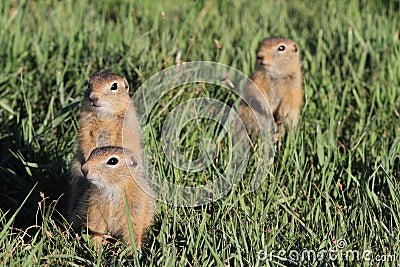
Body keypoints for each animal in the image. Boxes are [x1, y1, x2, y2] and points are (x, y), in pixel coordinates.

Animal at [68, 74, 145, 232]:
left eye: (114, 86)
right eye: (89, 84)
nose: (93, 97)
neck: (104, 114)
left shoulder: (123, 125)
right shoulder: (85, 125)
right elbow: (86, 139)